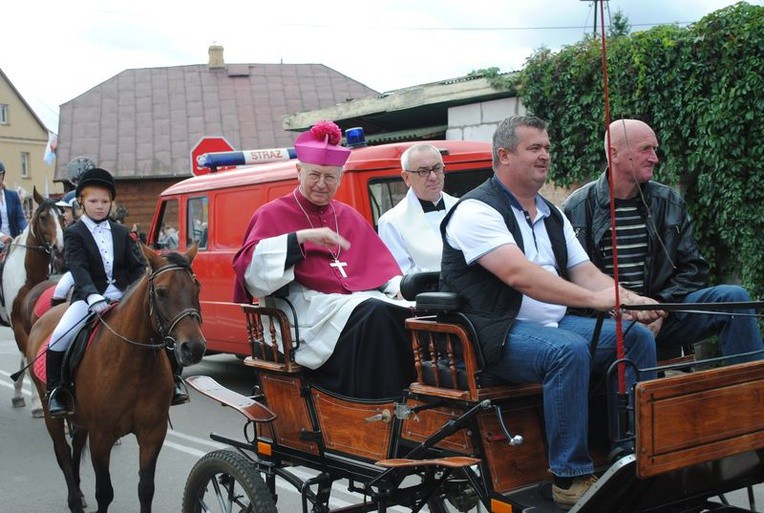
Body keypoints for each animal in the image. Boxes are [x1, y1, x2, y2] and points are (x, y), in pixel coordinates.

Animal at [1, 188, 65, 416]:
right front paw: (36, 404)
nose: (60, 248)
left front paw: (21, 394)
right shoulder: (17, 324)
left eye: (62, 217)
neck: (28, 275)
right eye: (43, 217)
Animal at [27, 244, 207, 512]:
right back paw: (74, 500)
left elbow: (146, 489)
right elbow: (104, 492)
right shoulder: (102, 436)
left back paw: (79, 493)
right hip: (52, 414)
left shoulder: (153, 433)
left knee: (75, 446)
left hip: (81, 418)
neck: (134, 366)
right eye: (161, 292)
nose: (193, 348)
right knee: (63, 453)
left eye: (197, 288)